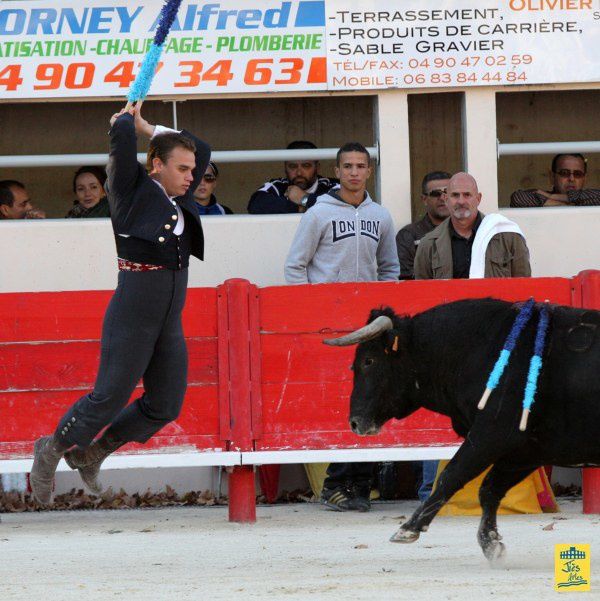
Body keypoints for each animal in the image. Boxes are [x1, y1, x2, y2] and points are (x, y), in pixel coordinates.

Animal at [324, 298, 600, 560]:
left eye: (368, 361)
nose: (355, 422)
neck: (474, 350)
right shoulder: (526, 451)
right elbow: (489, 489)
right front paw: (492, 545)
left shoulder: (491, 435)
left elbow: (451, 475)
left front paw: (408, 529)